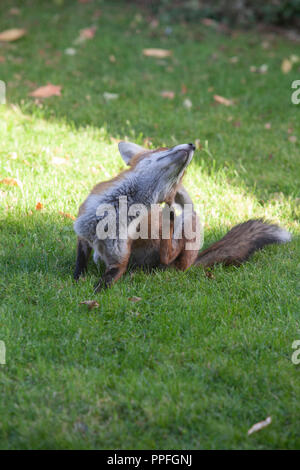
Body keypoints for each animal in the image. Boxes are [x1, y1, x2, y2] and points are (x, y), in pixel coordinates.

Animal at [74, 141, 292, 292]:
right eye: (163, 148)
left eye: (183, 173)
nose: (192, 145)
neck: (115, 212)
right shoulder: (83, 233)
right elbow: (80, 263)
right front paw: (77, 280)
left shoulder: (119, 261)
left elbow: (104, 284)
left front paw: (92, 293)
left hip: (189, 226)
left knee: (171, 256)